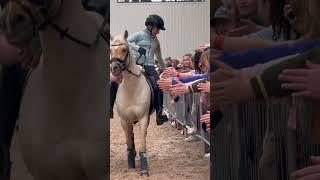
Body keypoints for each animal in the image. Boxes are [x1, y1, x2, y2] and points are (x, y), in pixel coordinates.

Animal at [110, 30, 153, 176]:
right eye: (111, 50)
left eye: (124, 49)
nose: (114, 68)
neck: (131, 89)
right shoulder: (124, 120)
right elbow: (129, 141)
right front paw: (130, 165)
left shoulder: (143, 118)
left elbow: (142, 141)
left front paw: (144, 169)